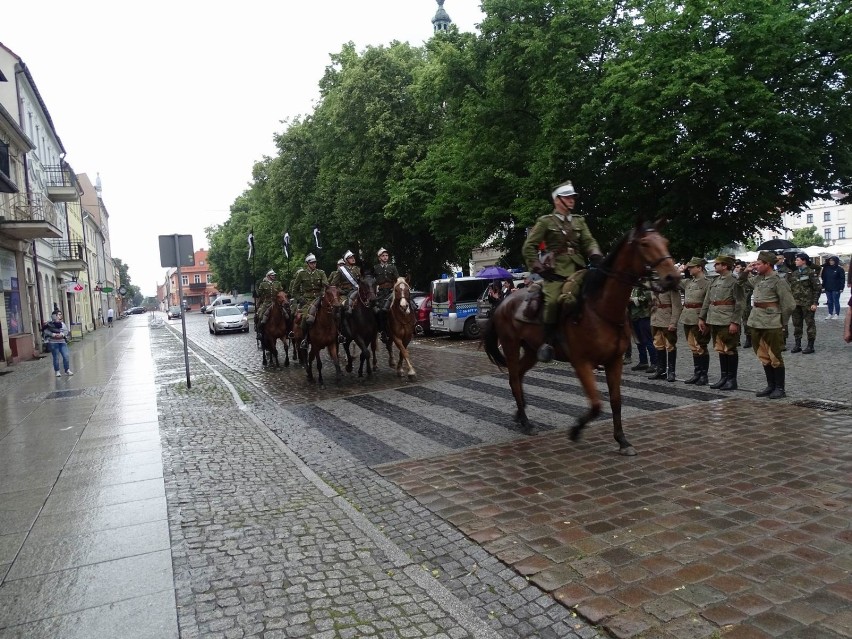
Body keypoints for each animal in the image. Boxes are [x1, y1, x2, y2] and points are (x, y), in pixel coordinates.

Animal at [482, 220, 684, 456]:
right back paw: (526, 422)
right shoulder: (581, 363)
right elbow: (596, 404)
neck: (601, 310)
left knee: (519, 376)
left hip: (531, 350)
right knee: (514, 378)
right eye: (644, 243)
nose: (673, 277)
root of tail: (502, 303)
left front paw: (622, 440)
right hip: (511, 345)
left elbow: (616, 401)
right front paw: (576, 429)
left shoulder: (614, 361)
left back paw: (520, 414)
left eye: (665, 242)